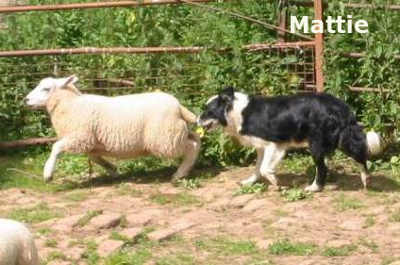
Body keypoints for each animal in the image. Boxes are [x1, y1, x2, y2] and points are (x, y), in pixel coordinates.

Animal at [24, 75, 200, 180]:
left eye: (46, 88)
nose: (26, 100)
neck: (71, 104)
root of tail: (178, 106)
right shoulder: (90, 142)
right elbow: (95, 158)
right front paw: (113, 169)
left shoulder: (80, 136)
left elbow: (56, 147)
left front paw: (48, 173)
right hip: (175, 132)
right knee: (196, 140)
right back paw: (186, 170)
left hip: (165, 138)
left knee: (191, 146)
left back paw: (179, 174)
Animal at [198, 87, 380, 192]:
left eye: (208, 111)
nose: (196, 120)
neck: (236, 111)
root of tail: (341, 106)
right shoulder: (262, 147)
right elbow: (257, 168)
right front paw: (250, 181)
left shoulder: (273, 144)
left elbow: (264, 168)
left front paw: (275, 182)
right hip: (338, 139)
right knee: (358, 156)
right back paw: (365, 179)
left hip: (317, 143)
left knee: (324, 167)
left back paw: (315, 187)